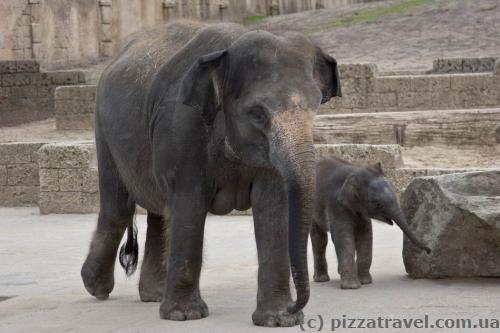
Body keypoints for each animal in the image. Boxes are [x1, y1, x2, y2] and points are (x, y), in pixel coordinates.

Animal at [81, 21, 340, 326]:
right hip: (103, 129)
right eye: (257, 113)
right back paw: (96, 287)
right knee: (118, 209)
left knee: (159, 212)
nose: (294, 307)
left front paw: (279, 319)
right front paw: (184, 315)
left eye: (316, 105)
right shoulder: (183, 127)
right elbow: (190, 204)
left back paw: (153, 295)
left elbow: (273, 205)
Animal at [312, 157, 430, 290]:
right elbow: (343, 237)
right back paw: (321, 279)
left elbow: (365, 235)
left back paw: (338, 273)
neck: (354, 171)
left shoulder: (361, 210)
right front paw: (352, 287)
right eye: (377, 204)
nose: (429, 250)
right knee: (319, 239)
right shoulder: (336, 204)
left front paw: (365, 282)